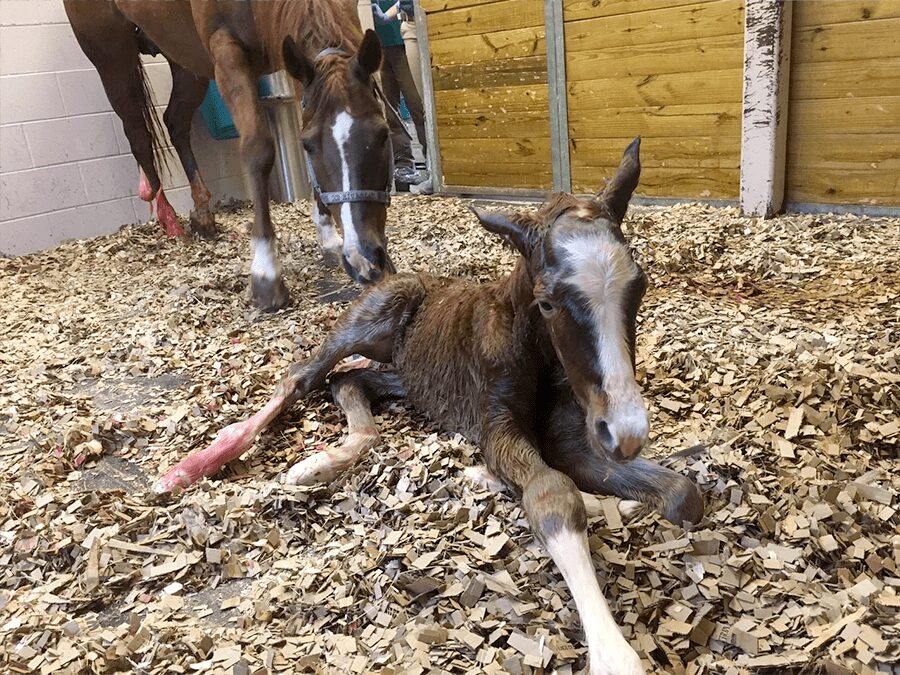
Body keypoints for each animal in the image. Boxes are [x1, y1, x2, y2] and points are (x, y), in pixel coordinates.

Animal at [63, 0, 397, 310]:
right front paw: (266, 273)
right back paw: (166, 215)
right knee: (138, 134)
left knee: (175, 123)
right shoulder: (226, 53)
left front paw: (328, 236)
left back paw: (201, 213)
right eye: (308, 146)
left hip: (185, 59)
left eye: (383, 134)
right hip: (112, 54)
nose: (365, 260)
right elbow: (258, 149)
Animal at [152, 139, 703, 675]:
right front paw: (614, 654)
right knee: (305, 375)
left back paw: (325, 460)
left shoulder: (576, 437)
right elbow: (551, 493)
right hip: (370, 321)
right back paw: (193, 469)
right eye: (548, 302)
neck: (534, 349)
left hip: (409, 375)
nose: (627, 433)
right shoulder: (497, 424)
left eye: (640, 286)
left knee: (348, 382)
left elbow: (682, 494)